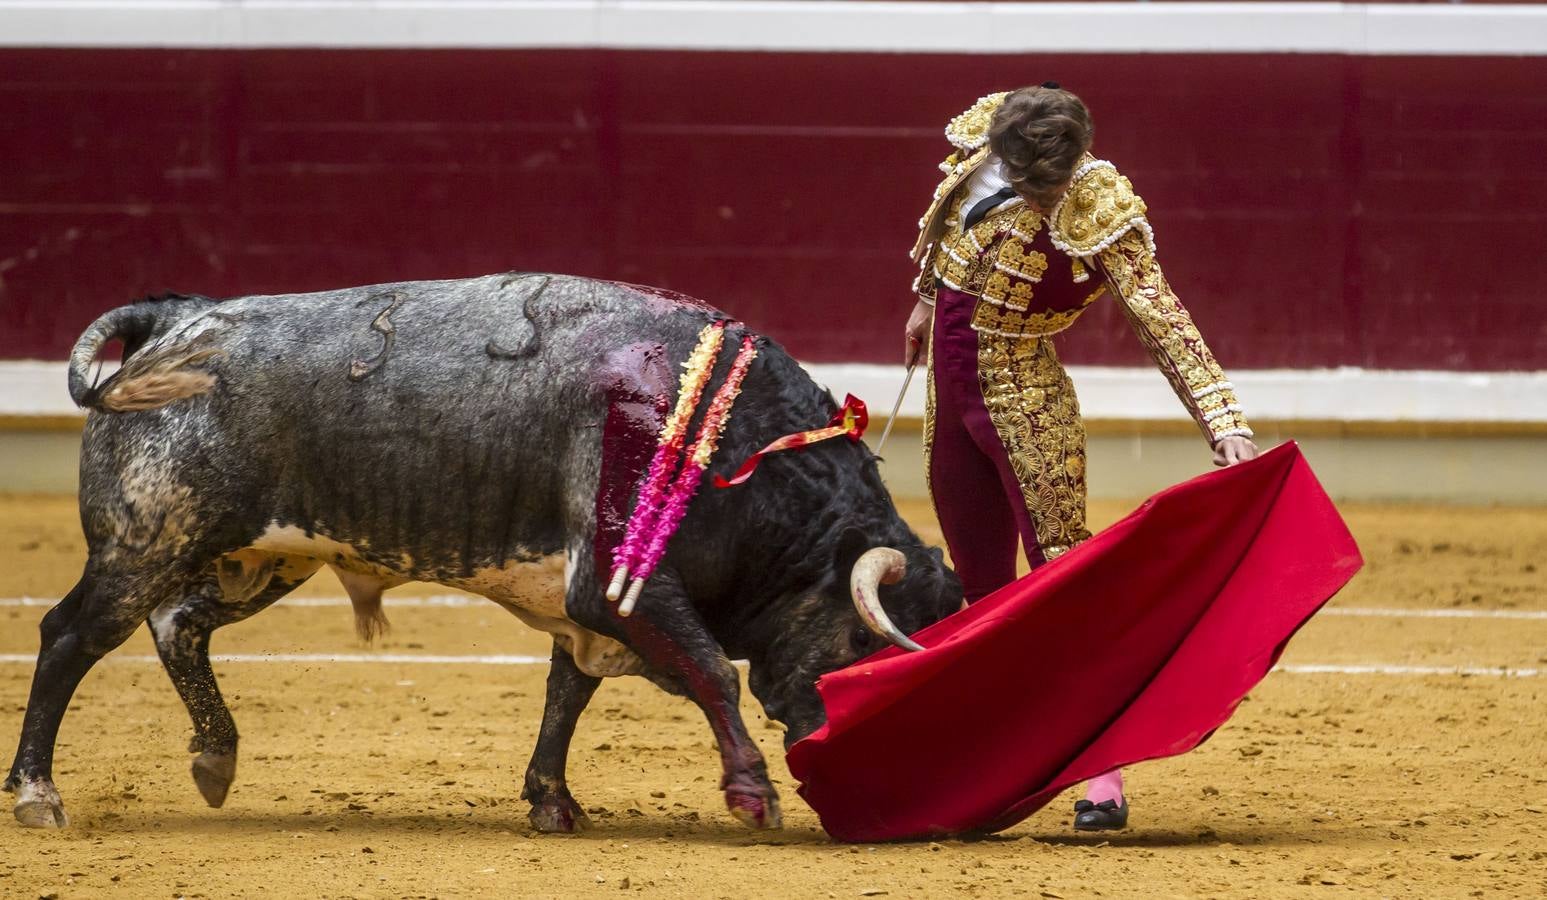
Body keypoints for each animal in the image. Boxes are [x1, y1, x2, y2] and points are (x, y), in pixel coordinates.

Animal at [6, 273, 959, 835]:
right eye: (866, 639)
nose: (833, 750)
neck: (730, 447)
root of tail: (177, 317)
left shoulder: (588, 607)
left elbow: (566, 694)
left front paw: (553, 803)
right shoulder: (620, 588)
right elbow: (713, 674)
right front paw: (751, 794)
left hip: (264, 556)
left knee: (178, 625)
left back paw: (214, 757)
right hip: (147, 539)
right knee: (71, 637)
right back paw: (39, 795)